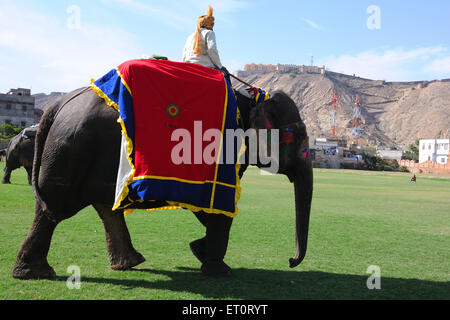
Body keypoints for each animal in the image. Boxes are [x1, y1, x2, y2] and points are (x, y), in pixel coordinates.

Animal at [11, 63, 312, 278]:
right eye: (298, 139)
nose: (290, 261)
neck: (252, 97)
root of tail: (56, 105)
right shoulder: (224, 152)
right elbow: (220, 208)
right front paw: (218, 270)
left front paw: (198, 250)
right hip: (71, 150)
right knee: (55, 209)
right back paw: (35, 273)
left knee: (103, 208)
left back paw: (127, 263)